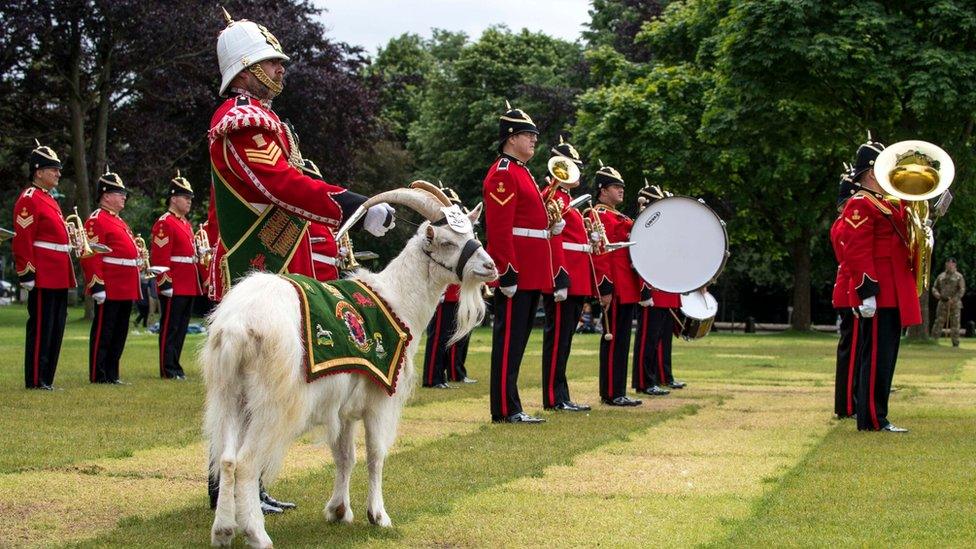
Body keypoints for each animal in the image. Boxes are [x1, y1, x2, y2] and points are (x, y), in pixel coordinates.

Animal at [203, 183, 500, 544]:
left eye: (472, 232)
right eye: (446, 241)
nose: (490, 267)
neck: (397, 298)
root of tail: (236, 326)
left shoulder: (342, 408)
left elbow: (345, 456)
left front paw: (339, 510)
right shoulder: (380, 397)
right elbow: (375, 454)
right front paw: (378, 515)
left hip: (230, 396)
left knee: (226, 459)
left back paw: (223, 530)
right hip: (273, 403)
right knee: (246, 463)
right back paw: (257, 534)